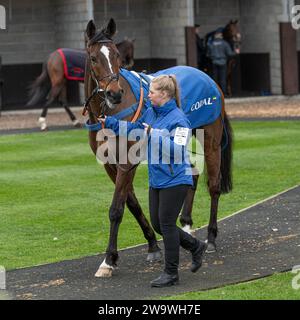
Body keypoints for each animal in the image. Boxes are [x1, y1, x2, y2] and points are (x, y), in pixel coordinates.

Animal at [83, 18, 233, 278]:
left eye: (117, 55)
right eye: (94, 58)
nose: (114, 93)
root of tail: (209, 78)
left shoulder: (127, 162)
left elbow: (116, 209)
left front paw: (109, 260)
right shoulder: (110, 165)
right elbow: (131, 204)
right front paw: (153, 244)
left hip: (211, 138)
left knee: (213, 185)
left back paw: (211, 237)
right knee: (191, 173)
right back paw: (186, 223)